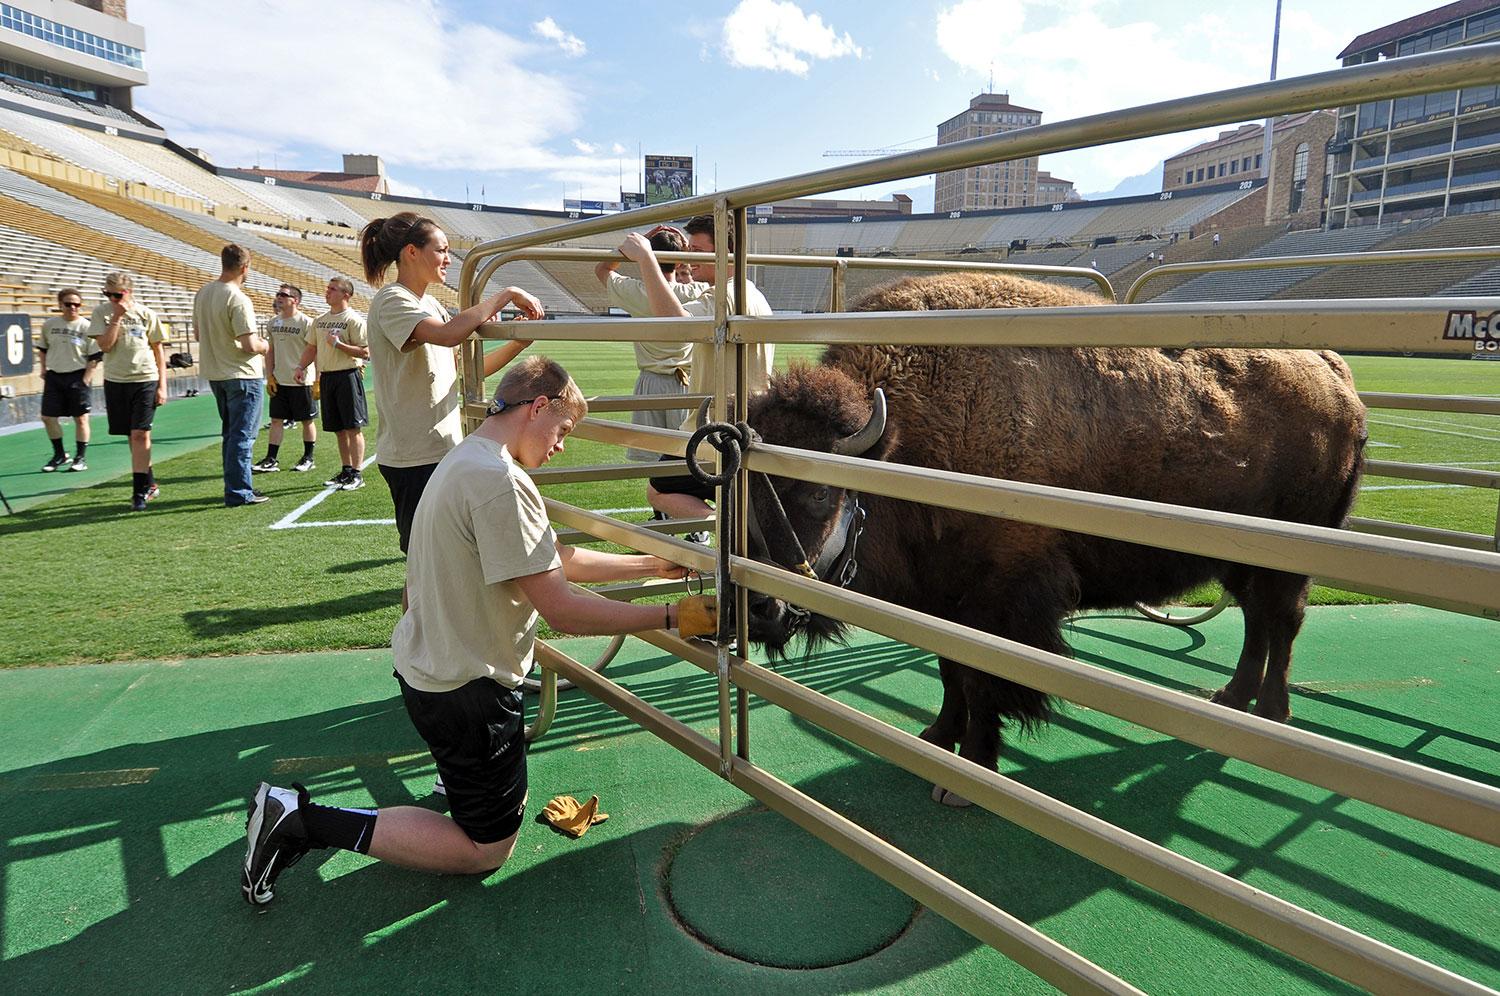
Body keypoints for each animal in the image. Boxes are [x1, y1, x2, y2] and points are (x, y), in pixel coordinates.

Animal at [744, 270, 1368, 804]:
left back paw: (1271, 713)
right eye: (742, 490)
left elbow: (980, 682)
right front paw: (936, 739)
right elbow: (950, 674)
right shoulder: (943, 600)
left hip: (1293, 554)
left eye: (819, 493)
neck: (905, 442)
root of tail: (1332, 371)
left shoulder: (998, 602)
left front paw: (968, 774)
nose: (759, 610)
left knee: (1283, 618)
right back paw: (1233, 700)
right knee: (1257, 618)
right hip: (1236, 561)